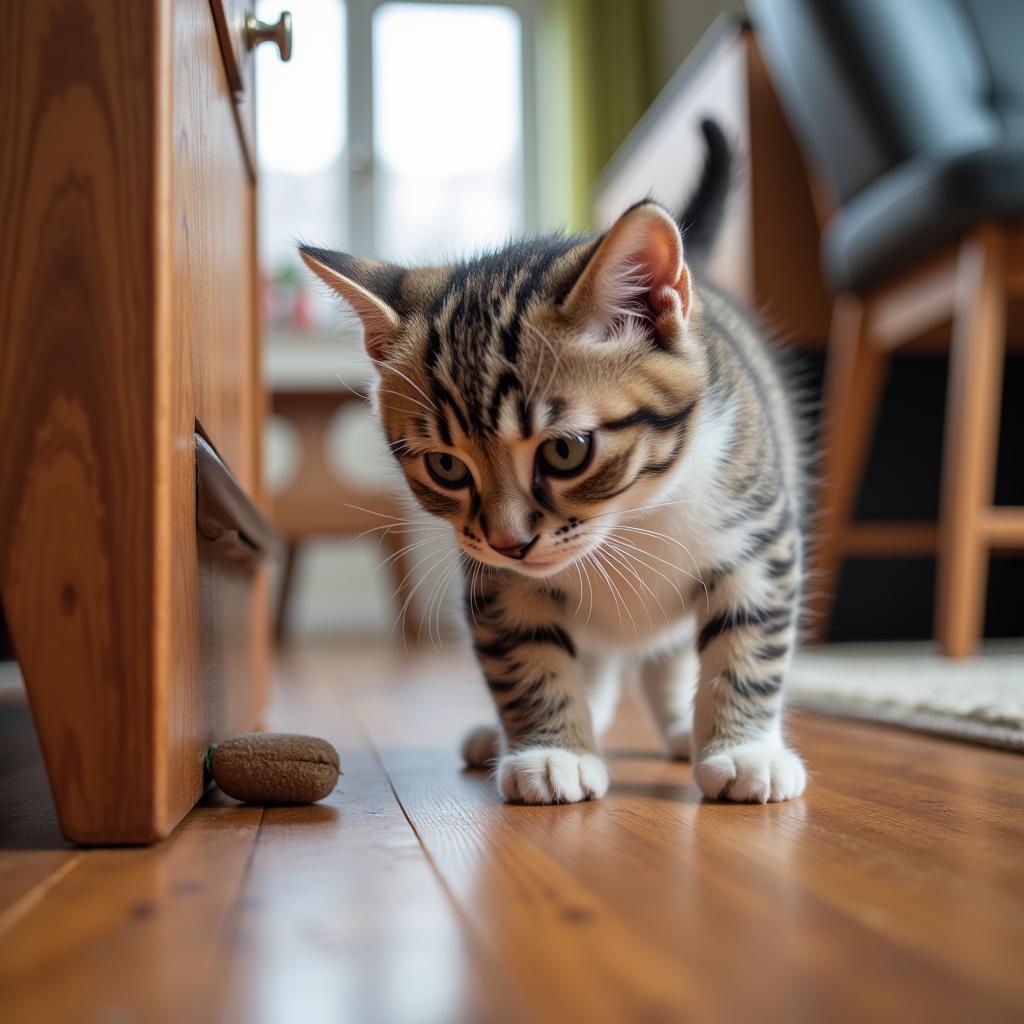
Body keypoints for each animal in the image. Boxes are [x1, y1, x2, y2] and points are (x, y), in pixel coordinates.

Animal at [301, 119, 806, 802]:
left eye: (565, 451)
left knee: (668, 653)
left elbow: (747, 639)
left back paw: (682, 728)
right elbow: (527, 652)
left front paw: (744, 749)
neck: (628, 520)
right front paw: (551, 750)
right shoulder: (495, 580)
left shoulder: (758, 533)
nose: (510, 542)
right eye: (446, 468)